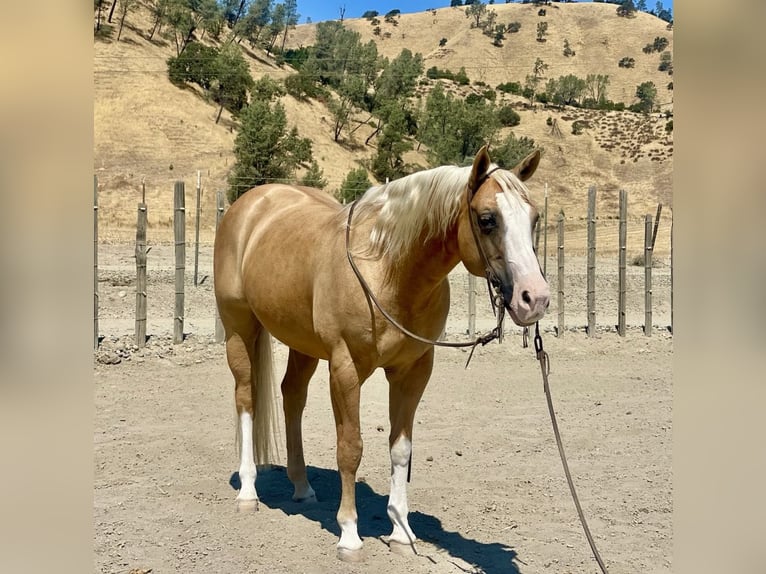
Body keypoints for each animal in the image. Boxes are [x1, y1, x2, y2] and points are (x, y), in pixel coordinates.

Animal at [214, 146, 552, 564]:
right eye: (488, 219)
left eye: (535, 218)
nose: (535, 298)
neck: (388, 271)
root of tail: (250, 203)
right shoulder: (345, 368)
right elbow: (351, 448)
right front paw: (349, 535)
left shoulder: (413, 370)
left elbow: (400, 449)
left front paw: (401, 532)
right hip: (238, 328)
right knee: (246, 398)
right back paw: (248, 492)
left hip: (302, 343)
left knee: (292, 397)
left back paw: (302, 487)